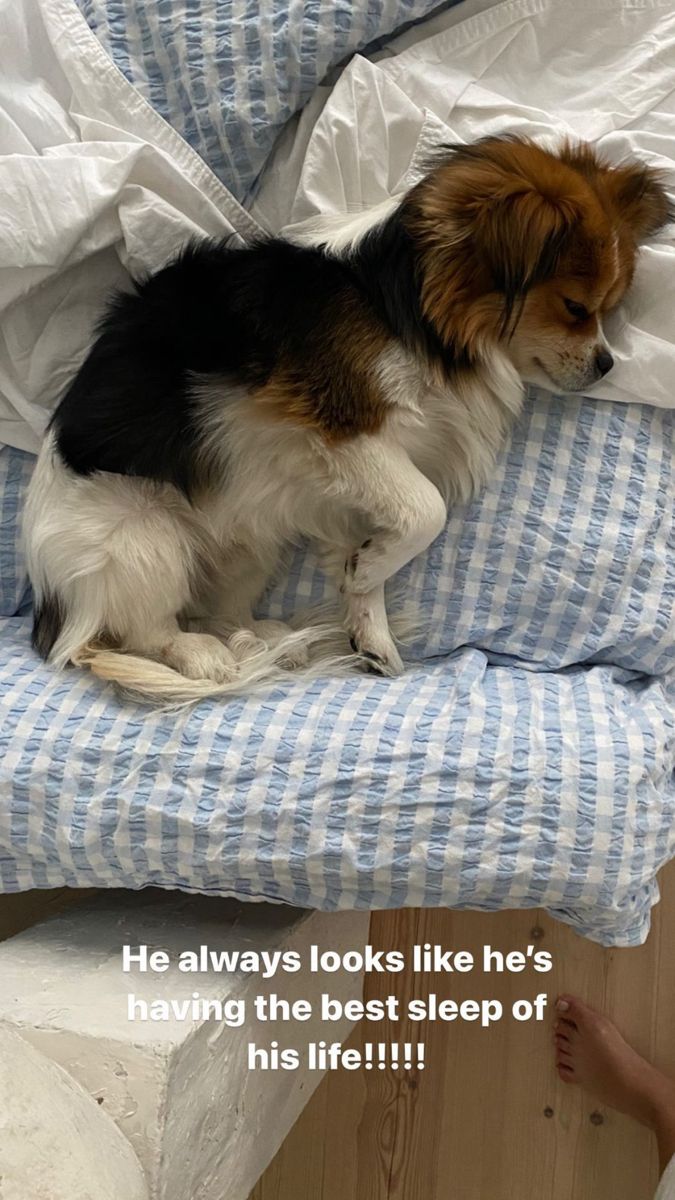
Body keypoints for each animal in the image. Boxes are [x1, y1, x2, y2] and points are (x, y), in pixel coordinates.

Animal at [23, 138, 667, 700]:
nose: (607, 363)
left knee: (218, 610)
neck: (401, 306)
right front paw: (363, 576)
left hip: (250, 547)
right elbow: (426, 511)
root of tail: (53, 608)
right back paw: (204, 655)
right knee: (146, 628)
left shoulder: (362, 476)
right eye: (575, 308)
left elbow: (384, 543)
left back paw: (261, 637)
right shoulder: (343, 430)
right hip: (143, 538)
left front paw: (369, 627)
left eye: (609, 310)